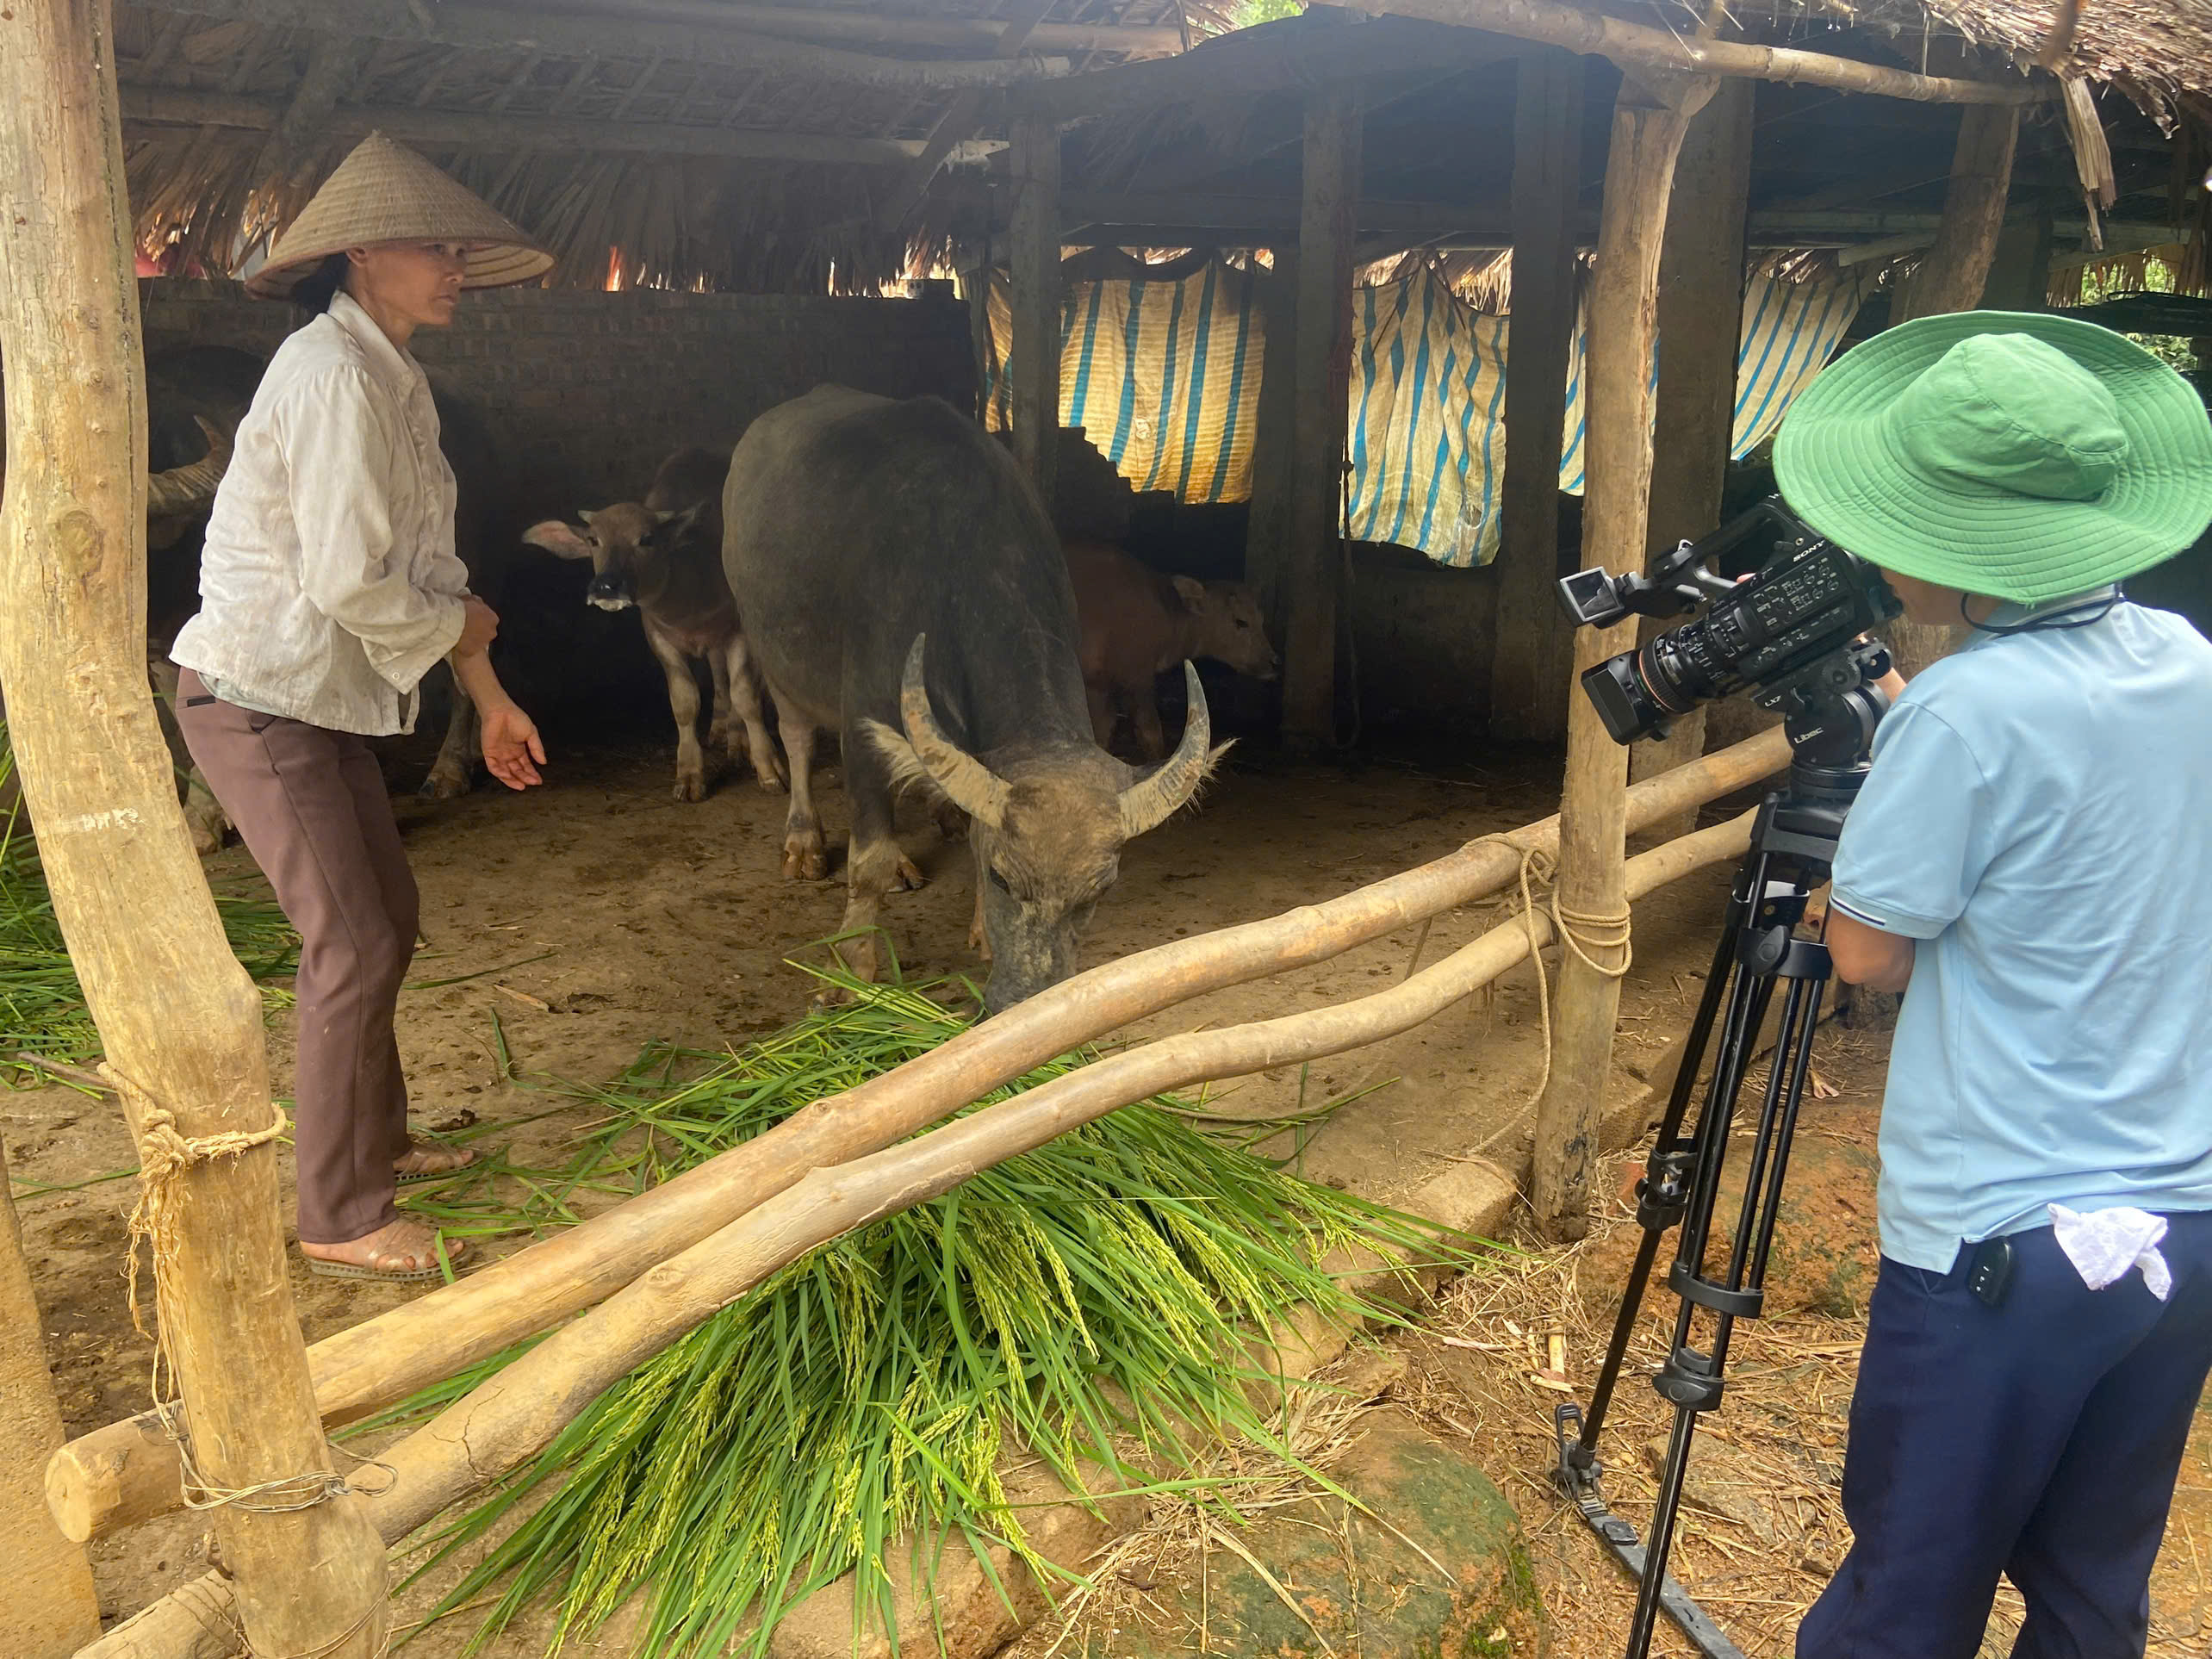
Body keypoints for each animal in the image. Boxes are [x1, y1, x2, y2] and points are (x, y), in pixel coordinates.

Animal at [519, 444, 787, 800]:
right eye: (593, 540)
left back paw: (738, 739)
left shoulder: (739, 632)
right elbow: (685, 703)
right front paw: (689, 774)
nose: (606, 586)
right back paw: (721, 729)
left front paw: (768, 767)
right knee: (718, 678)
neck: (689, 597)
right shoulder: (660, 639)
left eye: (646, 539)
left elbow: (746, 697)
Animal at [721, 387, 1212, 1013]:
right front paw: (851, 969)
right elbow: (867, 861)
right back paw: (804, 841)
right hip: (775, 656)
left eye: (1100, 890)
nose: (1027, 997)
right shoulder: (863, 725)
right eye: (1004, 877)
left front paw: (979, 930)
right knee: (799, 740)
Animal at [1066, 539, 1283, 761]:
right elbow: (1150, 734)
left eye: (1261, 620)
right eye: (1241, 621)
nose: (1274, 662)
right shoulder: (1137, 680)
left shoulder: (1098, 685)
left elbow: (1102, 732)